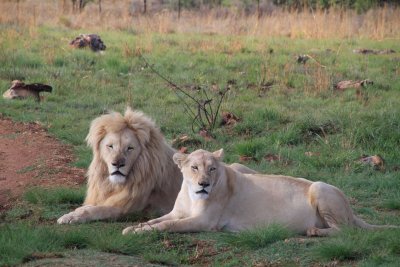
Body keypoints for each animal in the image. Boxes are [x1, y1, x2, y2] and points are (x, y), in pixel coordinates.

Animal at [123, 149, 396, 237]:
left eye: (212, 169)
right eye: (194, 168)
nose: (204, 184)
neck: (192, 196)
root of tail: (351, 209)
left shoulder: (204, 222)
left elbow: (168, 226)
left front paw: (138, 232)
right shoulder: (177, 212)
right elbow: (157, 220)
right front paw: (133, 228)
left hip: (319, 186)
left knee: (346, 230)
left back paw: (314, 231)